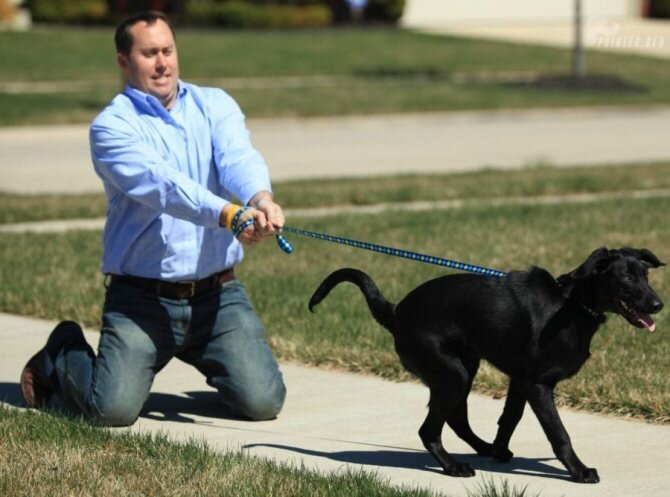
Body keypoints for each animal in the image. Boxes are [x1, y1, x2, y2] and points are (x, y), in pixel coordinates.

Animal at [310, 247, 668, 480]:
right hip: (452, 373)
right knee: (429, 429)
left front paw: (497, 451)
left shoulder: (521, 380)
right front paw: (579, 470)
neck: (572, 304)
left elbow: (509, 418)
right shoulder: (538, 384)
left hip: (464, 368)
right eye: (625, 278)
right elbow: (559, 433)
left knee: (455, 419)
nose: (657, 304)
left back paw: (480, 449)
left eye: (645, 275)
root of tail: (396, 312)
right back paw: (452, 467)